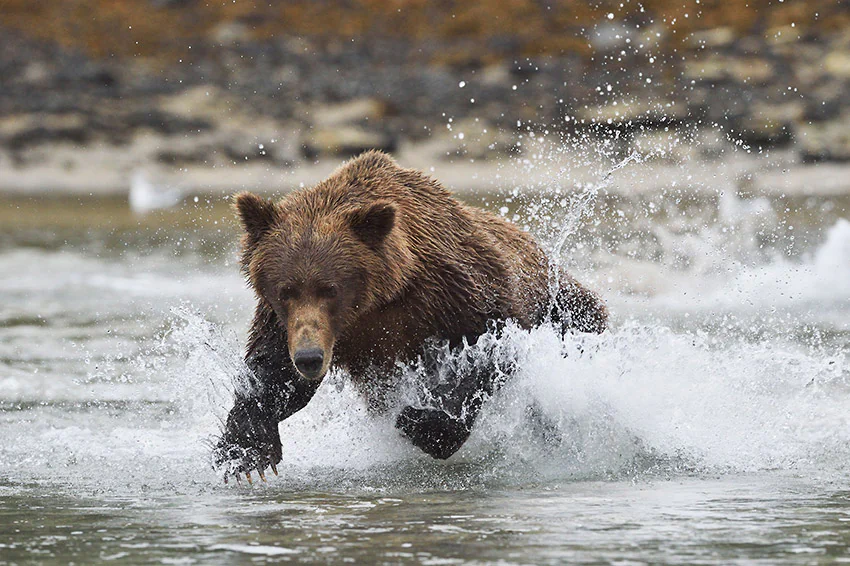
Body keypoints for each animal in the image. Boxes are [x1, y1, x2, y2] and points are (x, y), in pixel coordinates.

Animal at [214, 151, 607, 482]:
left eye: (331, 289)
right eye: (286, 290)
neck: (382, 296)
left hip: (565, 308)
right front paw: (245, 452)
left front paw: (420, 423)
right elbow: (272, 373)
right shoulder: (296, 324)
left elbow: (487, 351)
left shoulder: (457, 292)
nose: (309, 358)